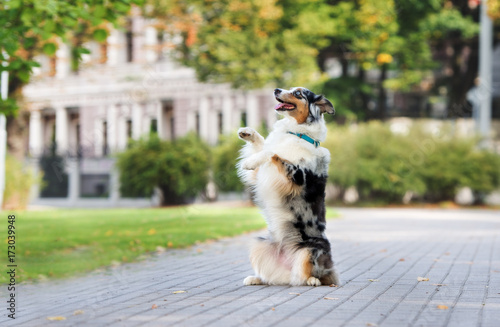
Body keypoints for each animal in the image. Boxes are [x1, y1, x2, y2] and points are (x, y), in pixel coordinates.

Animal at [237, 87, 340, 288]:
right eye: (291, 89)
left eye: (299, 93)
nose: (276, 89)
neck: (297, 133)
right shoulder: (260, 174)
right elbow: (265, 146)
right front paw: (247, 132)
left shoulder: (296, 176)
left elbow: (272, 152)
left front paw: (250, 161)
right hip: (260, 244)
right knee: (280, 278)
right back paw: (256, 278)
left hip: (311, 250)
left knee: (313, 276)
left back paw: (313, 280)